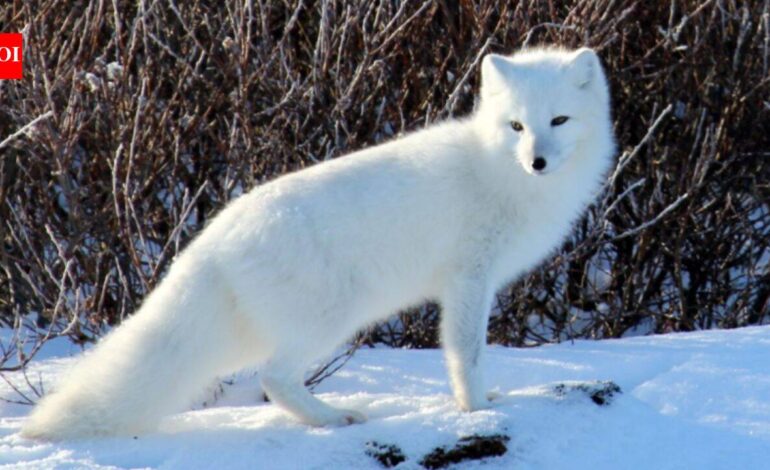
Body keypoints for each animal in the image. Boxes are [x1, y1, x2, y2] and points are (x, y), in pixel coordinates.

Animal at [22, 46, 615, 439]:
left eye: (559, 120)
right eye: (516, 126)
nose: (537, 161)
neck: (498, 171)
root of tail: (215, 235)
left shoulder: (468, 283)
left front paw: (486, 399)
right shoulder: (469, 279)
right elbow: (466, 353)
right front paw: (475, 410)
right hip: (331, 318)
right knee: (275, 378)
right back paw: (334, 418)